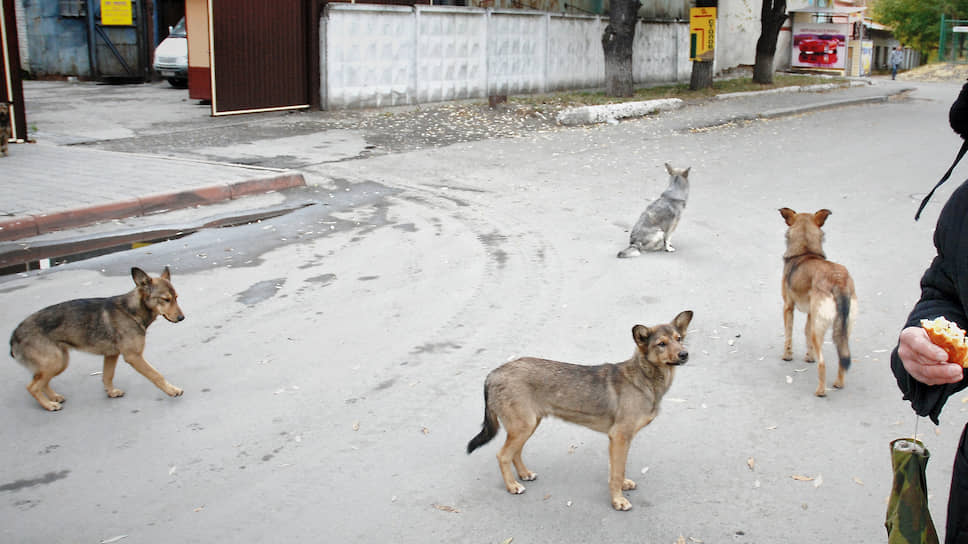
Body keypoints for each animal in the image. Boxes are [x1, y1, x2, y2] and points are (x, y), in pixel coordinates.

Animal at [9, 266, 185, 410]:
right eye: (166, 299)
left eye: (177, 297)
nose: (182, 318)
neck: (131, 311)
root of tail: (14, 335)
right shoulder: (133, 357)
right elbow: (156, 375)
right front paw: (172, 390)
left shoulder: (111, 355)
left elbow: (107, 376)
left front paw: (111, 392)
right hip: (55, 362)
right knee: (32, 387)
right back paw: (49, 404)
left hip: (59, 363)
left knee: (41, 382)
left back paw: (53, 397)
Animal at [466, 310, 692, 510]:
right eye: (661, 344)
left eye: (679, 338)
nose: (684, 354)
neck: (644, 377)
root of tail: (493, 374)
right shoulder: (619, 437)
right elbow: (616, 472)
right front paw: (618, 501)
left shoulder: (620, 440)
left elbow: (618, 469)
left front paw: (622, 486)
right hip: (523, 426)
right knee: (503, 455)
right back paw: (512, 485)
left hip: (528, 425)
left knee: (515, 453)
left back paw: (524, 474)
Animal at [780, 207, 856, 396]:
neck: (805, 251)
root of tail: (838, 281)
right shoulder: (810, 314)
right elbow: (806, 334)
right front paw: (809, 357)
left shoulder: (788, 307)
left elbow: (788, 334)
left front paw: (787, 356)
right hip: (843, 329)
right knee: (842, 358)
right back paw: (838, 383)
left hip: (819, 328)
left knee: (823, 364)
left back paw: (821, 391)